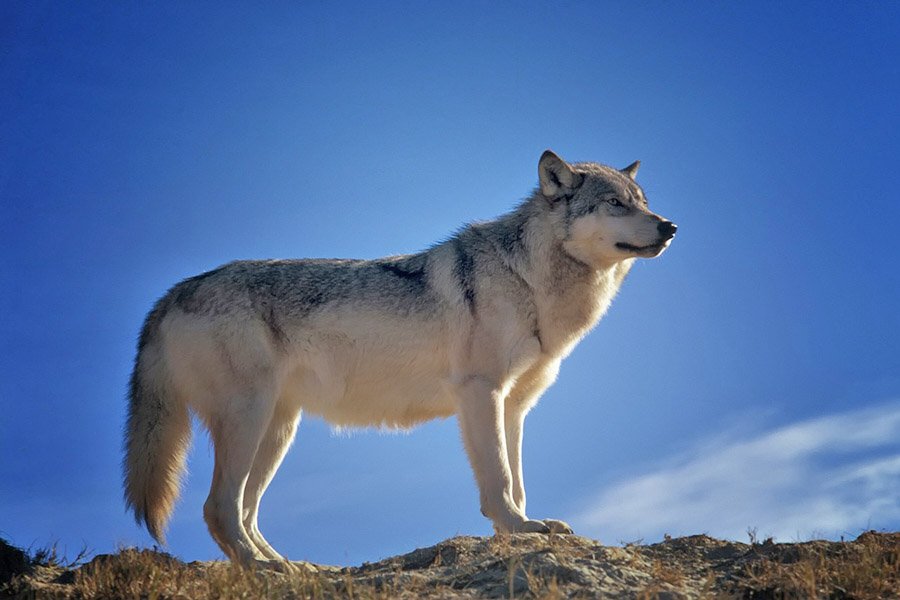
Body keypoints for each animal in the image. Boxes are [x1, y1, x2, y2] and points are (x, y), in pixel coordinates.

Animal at [123, 150, 676, 569]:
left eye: (643, 203)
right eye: (615, 204)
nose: (670, 226)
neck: (529, 279)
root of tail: (171, 293)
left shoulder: (515, 406)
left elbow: (517, 481)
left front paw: (522, 529)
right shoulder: (481, 393)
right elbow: (499, 480)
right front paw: (518, 529)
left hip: (278, 431)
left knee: (245, 511)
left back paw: (289, 566)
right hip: (249, 419)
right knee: (219, 508)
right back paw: (262, 569)